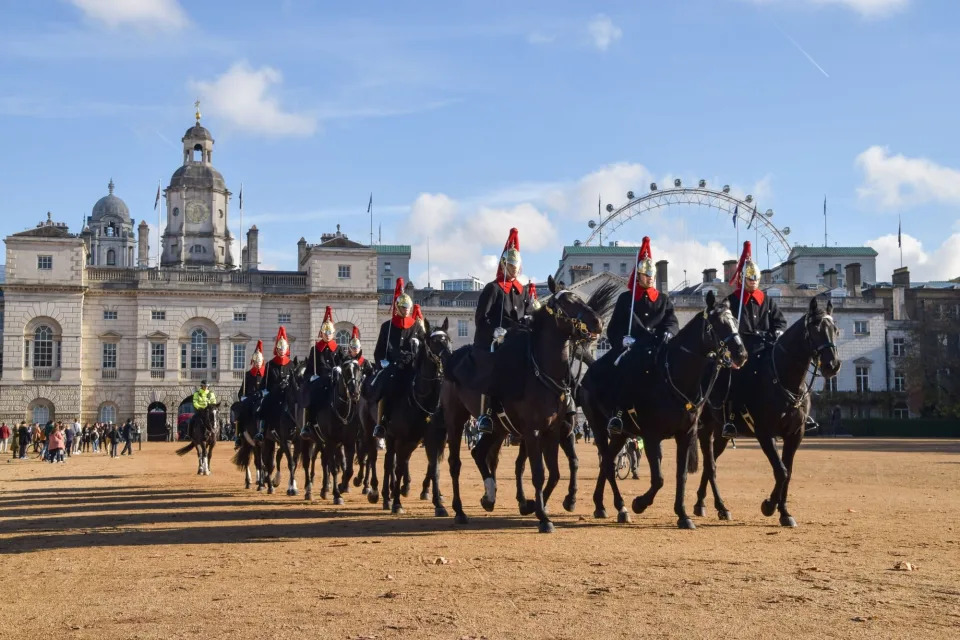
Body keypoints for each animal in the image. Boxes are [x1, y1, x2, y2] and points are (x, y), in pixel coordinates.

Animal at [440, 278, 608, 532]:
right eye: (567, 302)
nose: (598, 322)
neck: (542, 372)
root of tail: (452, 358)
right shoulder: (533, 431)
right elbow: (538, 472)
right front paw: (543, 517)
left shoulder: (553, 431)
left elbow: (556, 471)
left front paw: (538, 506)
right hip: (456, 420)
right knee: (455, 462)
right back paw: (459, 510)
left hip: (498, 429)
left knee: (481, 454)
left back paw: (489, 496)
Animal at [576, 292, 752, 528]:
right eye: (716, 324)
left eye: (734, 321)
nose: (741, 354)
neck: (674, 378)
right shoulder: (652, 436)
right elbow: (659, 478)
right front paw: (639, 504)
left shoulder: (687, 434)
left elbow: (683, 474)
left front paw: (683, 514)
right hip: (598, 426)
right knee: (608, 462)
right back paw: (621, 506)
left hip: (621, 434)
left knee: (607, 462)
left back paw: (601, 505)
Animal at [692, 296, 844, 524]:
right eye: (816, 328)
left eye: (835, 329)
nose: (832, 365)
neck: (783, 378)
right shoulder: (765, 433)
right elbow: (781, 471)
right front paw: (769, 506)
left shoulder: (795, 434)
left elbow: (788, 471)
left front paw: (785, 512)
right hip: (705, 428)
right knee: (710, 465)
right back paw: (714, 505)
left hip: (721, 432)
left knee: (711, 464)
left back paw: (708, 504)